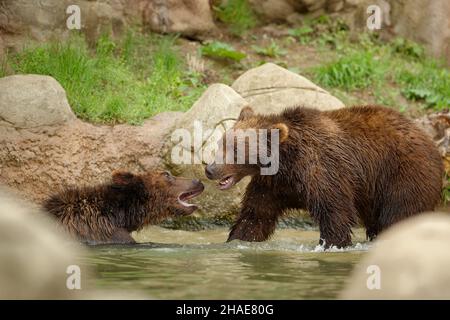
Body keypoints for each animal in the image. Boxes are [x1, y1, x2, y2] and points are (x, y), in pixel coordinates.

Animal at [205, 105, 442, 248]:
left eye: (236, 149)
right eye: (222, 142)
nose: (210, 169)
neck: (286, 164)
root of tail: (431, 141)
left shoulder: (324, 170)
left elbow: (335, 211)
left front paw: (331, 243)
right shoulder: (272, 185)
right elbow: (255, 216)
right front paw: (237, 240)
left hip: (403, 175)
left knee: (399, 214)